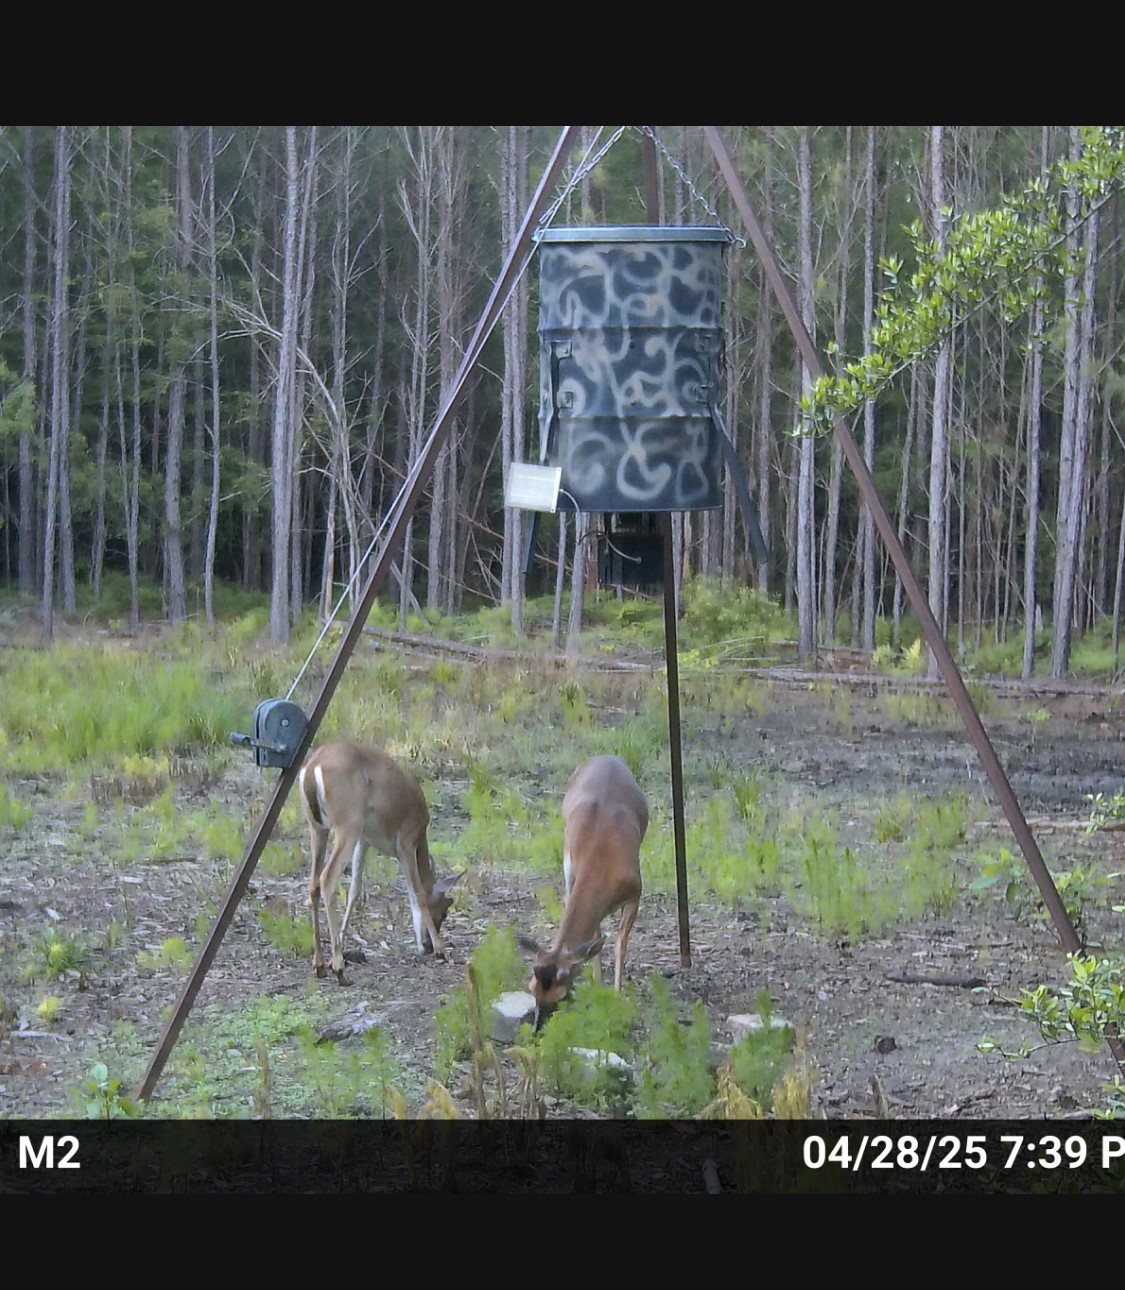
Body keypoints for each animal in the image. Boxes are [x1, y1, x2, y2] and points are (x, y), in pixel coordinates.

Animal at [298, 740, 463, 984]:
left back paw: (320, 964)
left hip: (318, 827)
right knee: (327, 878)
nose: (427, 947)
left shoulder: (364, 840)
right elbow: (417, 892)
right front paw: (442, 950)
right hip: (348, 823)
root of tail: (311, 768)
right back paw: (339, 970)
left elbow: (355, 890)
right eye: (443, 912)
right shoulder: (406, 841)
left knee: (313, 884)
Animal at [519, 754, 647, 1030]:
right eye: (532, 989)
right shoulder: (573, 874)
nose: (536, 1029)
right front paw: (598, 986)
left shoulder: (636, 891)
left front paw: (617, 995)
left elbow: (620, 942)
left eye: (560, 994)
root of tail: (608, 756)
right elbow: (596, 938)